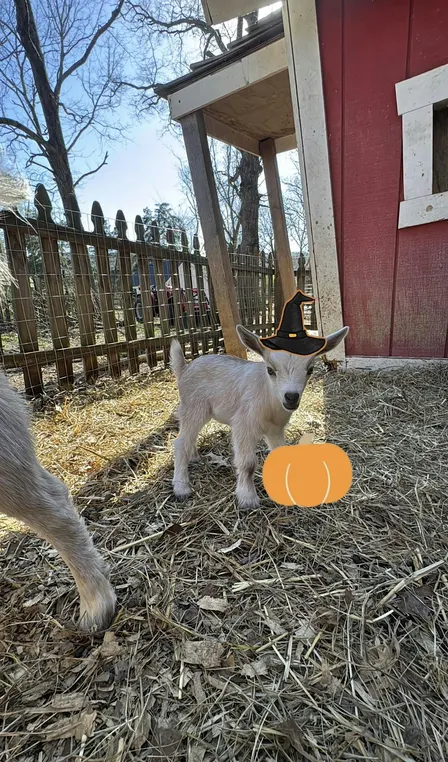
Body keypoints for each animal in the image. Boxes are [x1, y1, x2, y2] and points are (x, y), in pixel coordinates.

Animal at [170, 324, 349, 508]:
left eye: (310, 369)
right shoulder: (242, 425)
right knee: (180, 442)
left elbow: (280, 453)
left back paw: (193, 457)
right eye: (270, 370)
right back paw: (181, 487)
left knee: (188, 438)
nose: (291, 397)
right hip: (194, 407)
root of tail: (184, 369)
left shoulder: (275, 429)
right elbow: (248, 464)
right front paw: (247, 498)